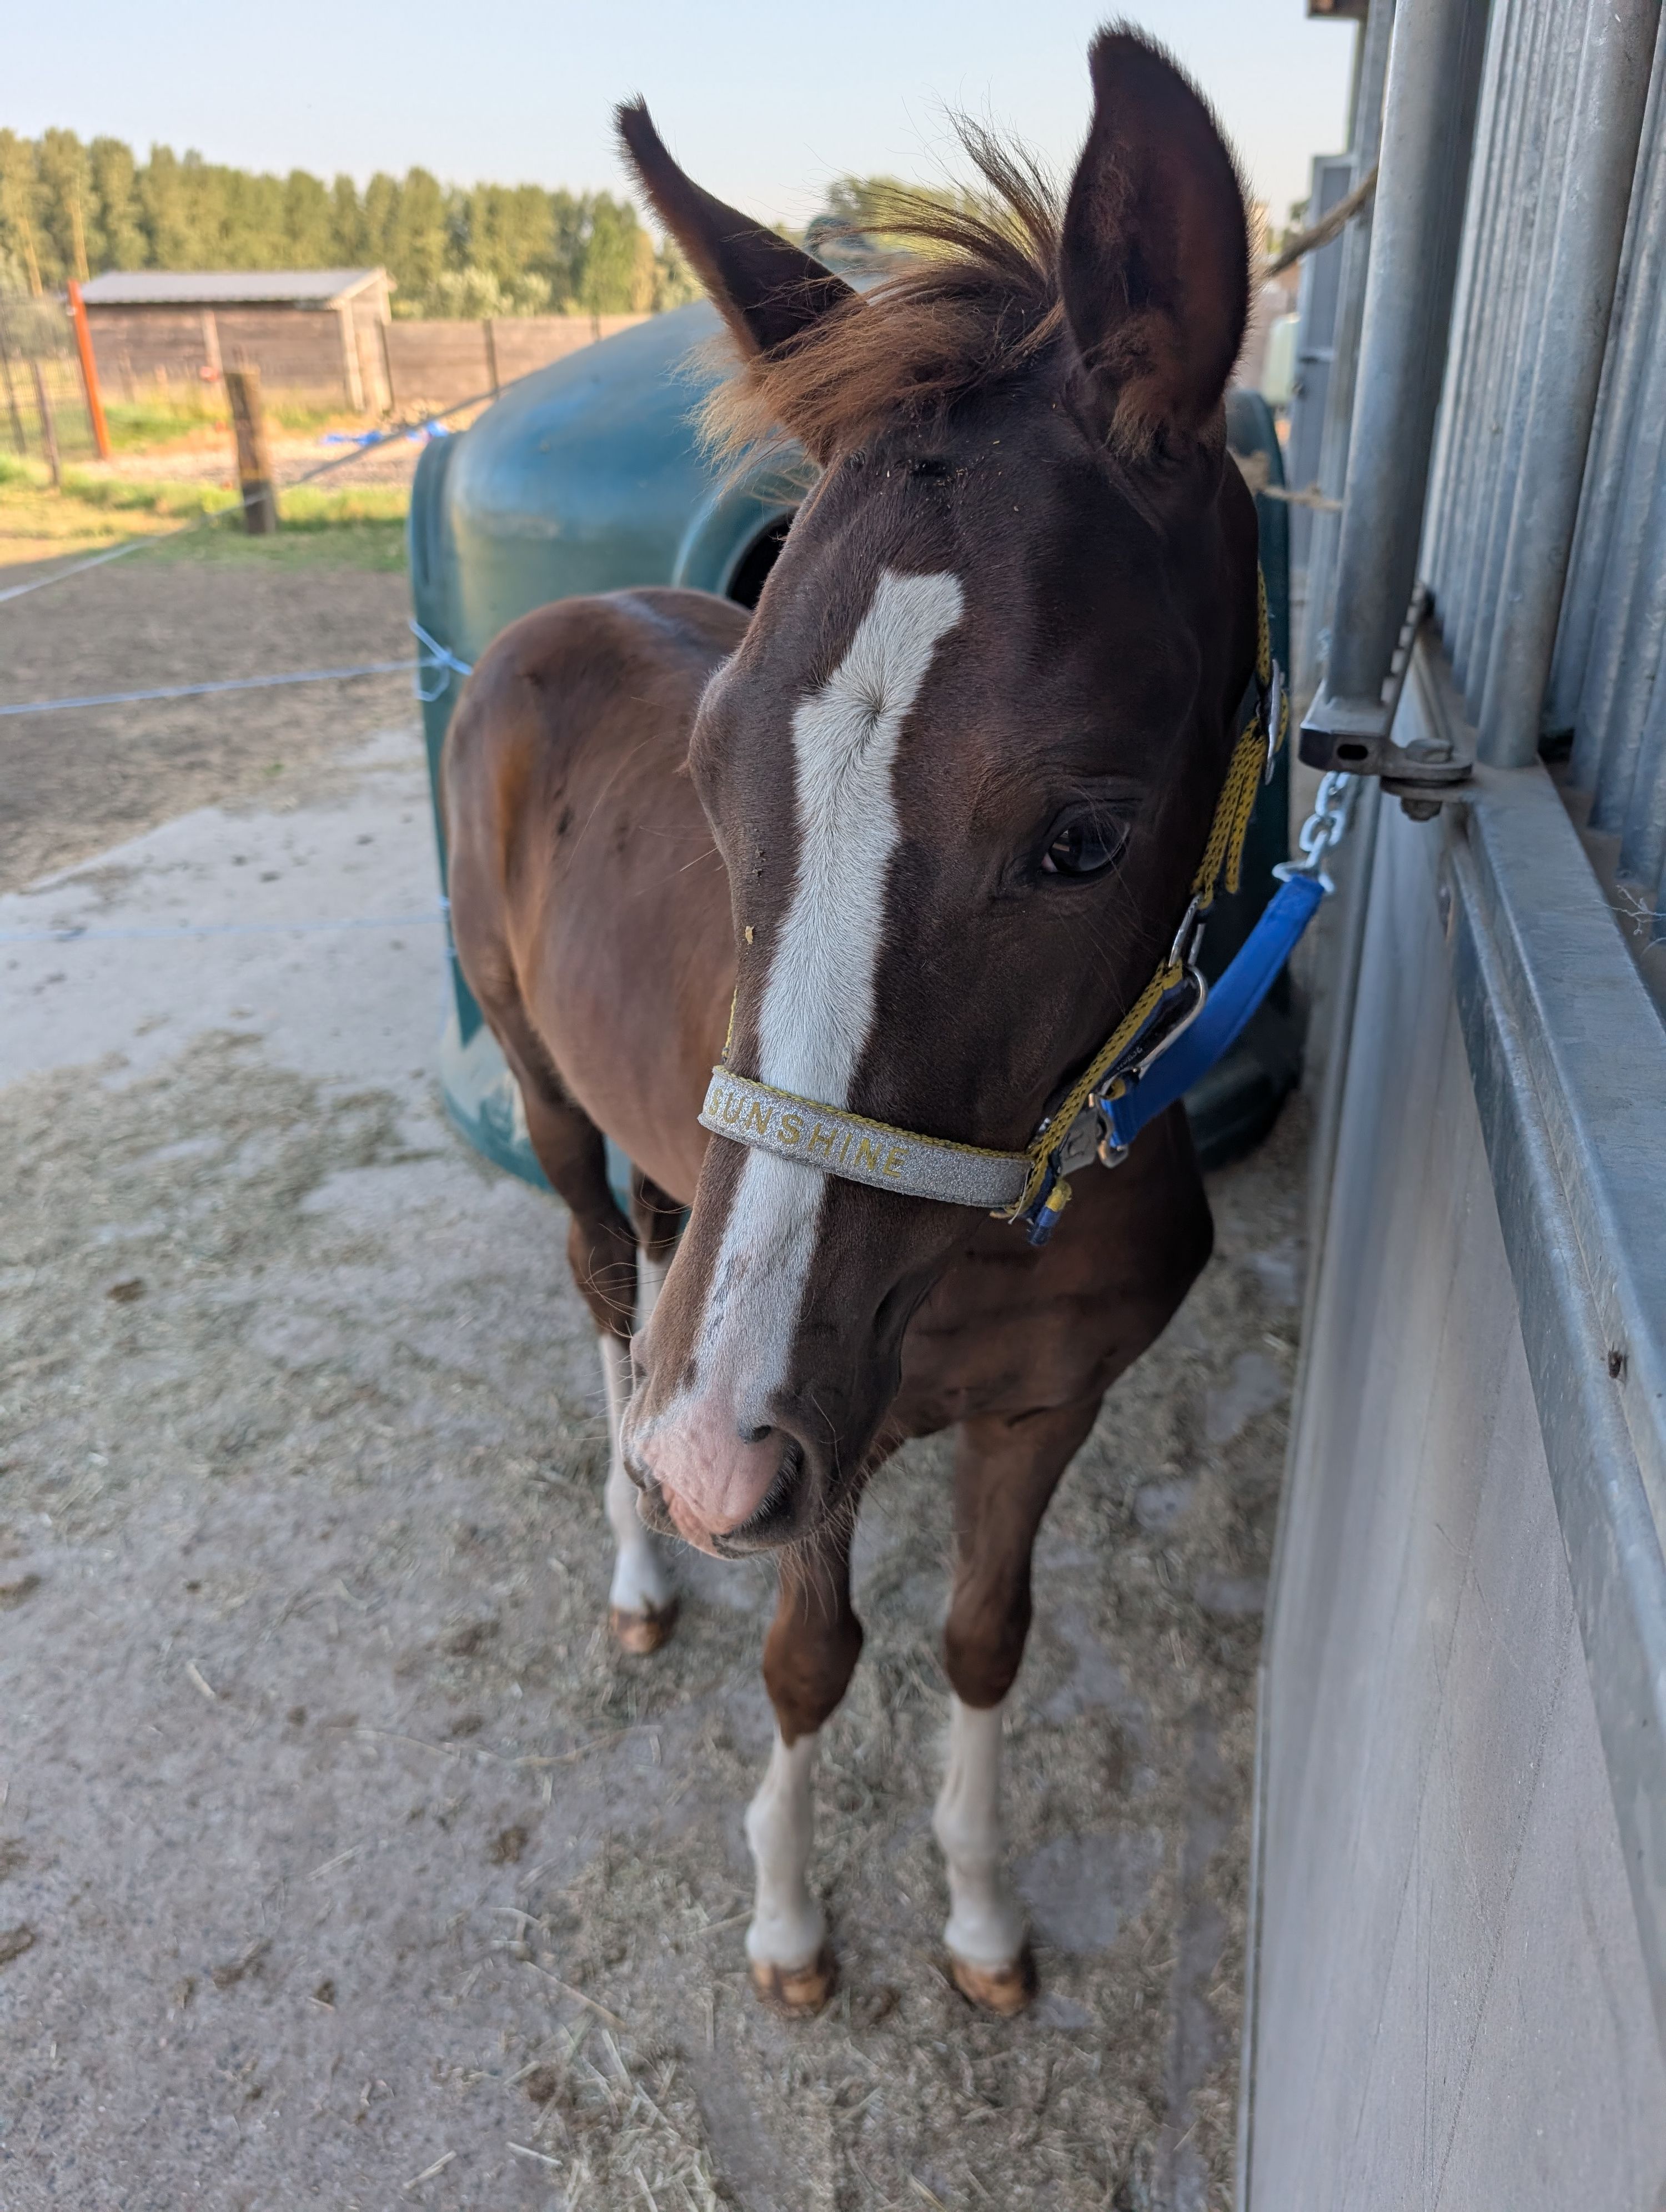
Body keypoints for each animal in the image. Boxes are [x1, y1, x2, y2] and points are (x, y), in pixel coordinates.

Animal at [441, 24, 1260, 2018]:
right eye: (715, 771)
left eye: (1085, 833)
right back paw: (637, 1564)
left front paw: (979, 1919)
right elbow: (810, 1663)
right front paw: (792, 1926)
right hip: (546, 1092)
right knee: (604, 1280)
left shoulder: (1047, 1402)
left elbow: (982, 1636)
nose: (708, 1460)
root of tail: (541, 624)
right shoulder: (829, 1443)